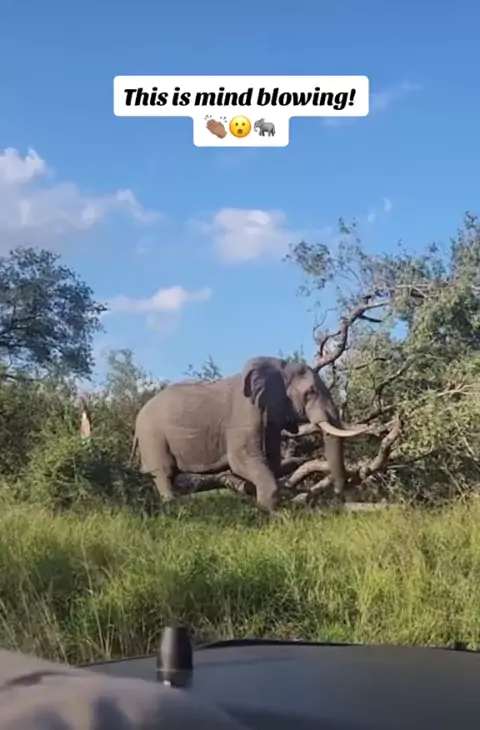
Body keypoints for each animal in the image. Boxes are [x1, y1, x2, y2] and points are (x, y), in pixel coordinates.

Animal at [131, 356, 369, 511]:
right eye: (310, 393)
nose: (340, 494)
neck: (279, 368)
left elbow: (271, 460)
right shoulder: (244, 416)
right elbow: (242, 459)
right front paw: (269, 512)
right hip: (152, 437)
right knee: (163, 473)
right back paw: (174, 508)